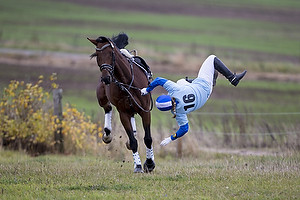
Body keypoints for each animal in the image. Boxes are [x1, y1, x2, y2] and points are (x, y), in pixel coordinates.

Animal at [88, 33, 155, 173]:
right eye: (97, 55)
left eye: (111, 53)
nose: (106, 78)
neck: (127, 81)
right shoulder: (123, 113)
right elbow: (133, 141)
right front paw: (138, 166)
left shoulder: (145, 111)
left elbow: (148, 139)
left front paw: (150, 163)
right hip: (101, 97)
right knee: (107, 107)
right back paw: (107, 134)